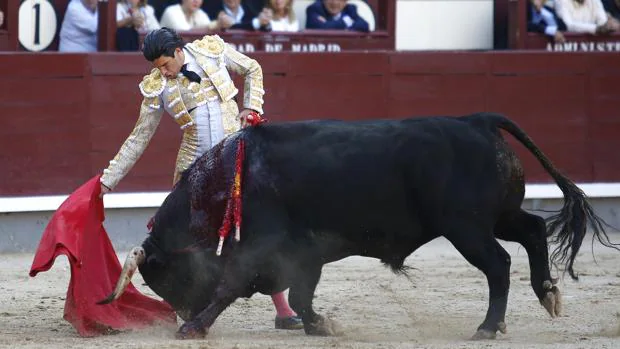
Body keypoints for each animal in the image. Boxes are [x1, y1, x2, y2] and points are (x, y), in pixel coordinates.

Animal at [99, 112, 616, 340]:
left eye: (162, 276)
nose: (183, 313)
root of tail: (477, 120)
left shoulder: (263, 247)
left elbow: (231, 285)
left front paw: (195, 328)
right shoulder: (303, 255)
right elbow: (301, 295)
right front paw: (320, 325)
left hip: (466, 228)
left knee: (499, 263)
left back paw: (488, 327)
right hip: (498, 216)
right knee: (531, 231)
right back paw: (546, 294)